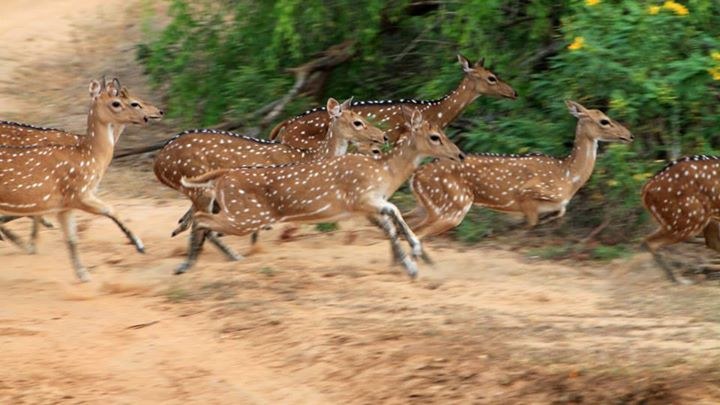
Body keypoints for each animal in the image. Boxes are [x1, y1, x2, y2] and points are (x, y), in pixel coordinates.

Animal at [0, 77, 159, 281]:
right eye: (122, 102)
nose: (157, 112)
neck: (90, 155)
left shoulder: (64, 204)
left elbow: (71, 238)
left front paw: (83, 275)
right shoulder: (78, 194)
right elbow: (111, 210)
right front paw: (139, 245)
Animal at [153, 97, 386, 259]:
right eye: (358, 122)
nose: (382, 136)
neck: (308, 156)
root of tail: (158, 164)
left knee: (196, 222)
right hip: (199, 186)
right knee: (202, 224)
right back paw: (228, 256)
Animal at [176, 108, 465, 277]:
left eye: (442, 131)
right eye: (435, 136)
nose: (459, 154)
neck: (386, 173)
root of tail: (223, 177)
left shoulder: (370, 205)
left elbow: (391, 225)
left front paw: (412, 263)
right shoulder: (360, 198)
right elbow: (395, 214)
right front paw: (414, 258)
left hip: (239, 214)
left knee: (202, 222)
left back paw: (200, 261)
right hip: (247, 216)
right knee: (201, 220)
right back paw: (186, 265)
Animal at [405, 100, 633, 238]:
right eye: (604, 121)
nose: (629, 135)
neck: (569, 176)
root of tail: (416, 176)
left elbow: (559, 212)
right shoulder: (526, 194)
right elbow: (531, 222)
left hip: (426, 205)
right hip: (454, 204)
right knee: (417, 232)